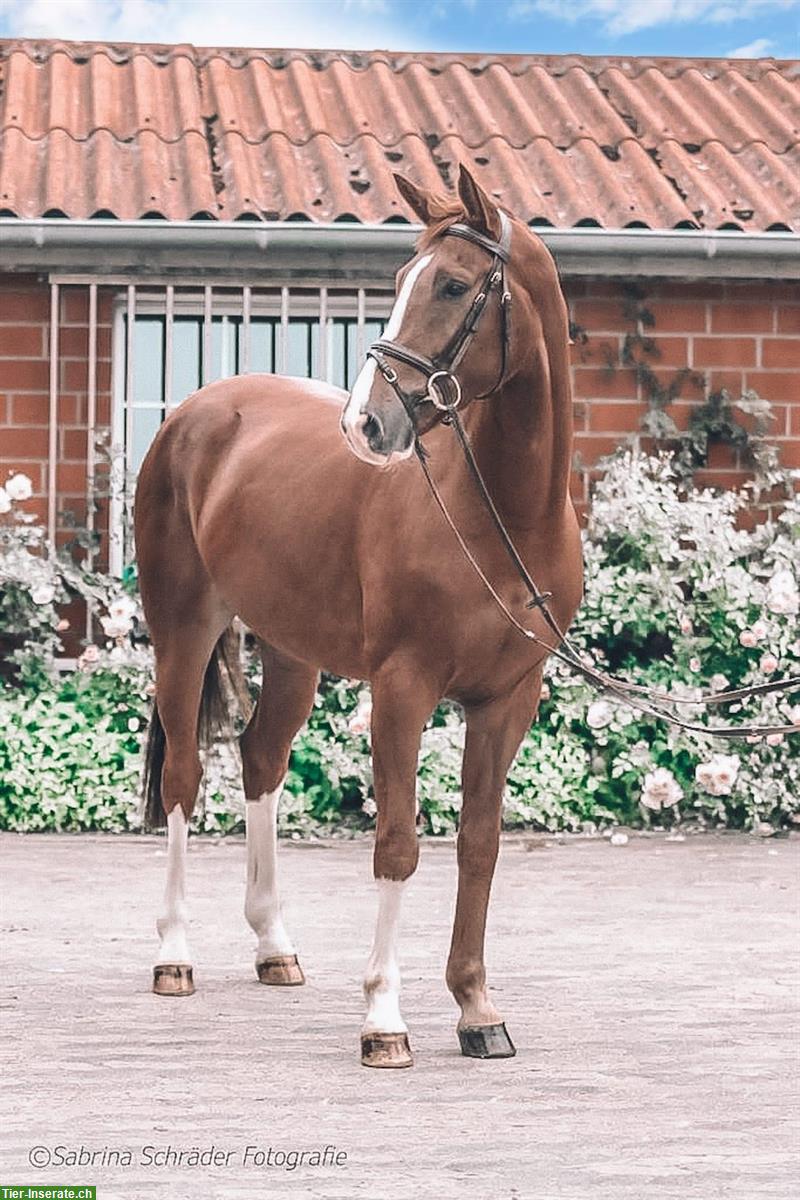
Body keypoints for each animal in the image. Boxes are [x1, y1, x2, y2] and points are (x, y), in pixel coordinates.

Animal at [136, 166, 582, 1070]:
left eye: (452, 285)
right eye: (404, 278)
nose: (366, 424)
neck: (504, 519)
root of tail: (195, 415)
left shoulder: (508, 699)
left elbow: (479, 843)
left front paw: (476, 1009)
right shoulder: (403, 689)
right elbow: (399, 844)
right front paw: (384, 1018)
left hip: (292, 652)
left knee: (260, 759)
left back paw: (274, 946)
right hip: (183, 633)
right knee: (184, 778)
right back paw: (174, 954)